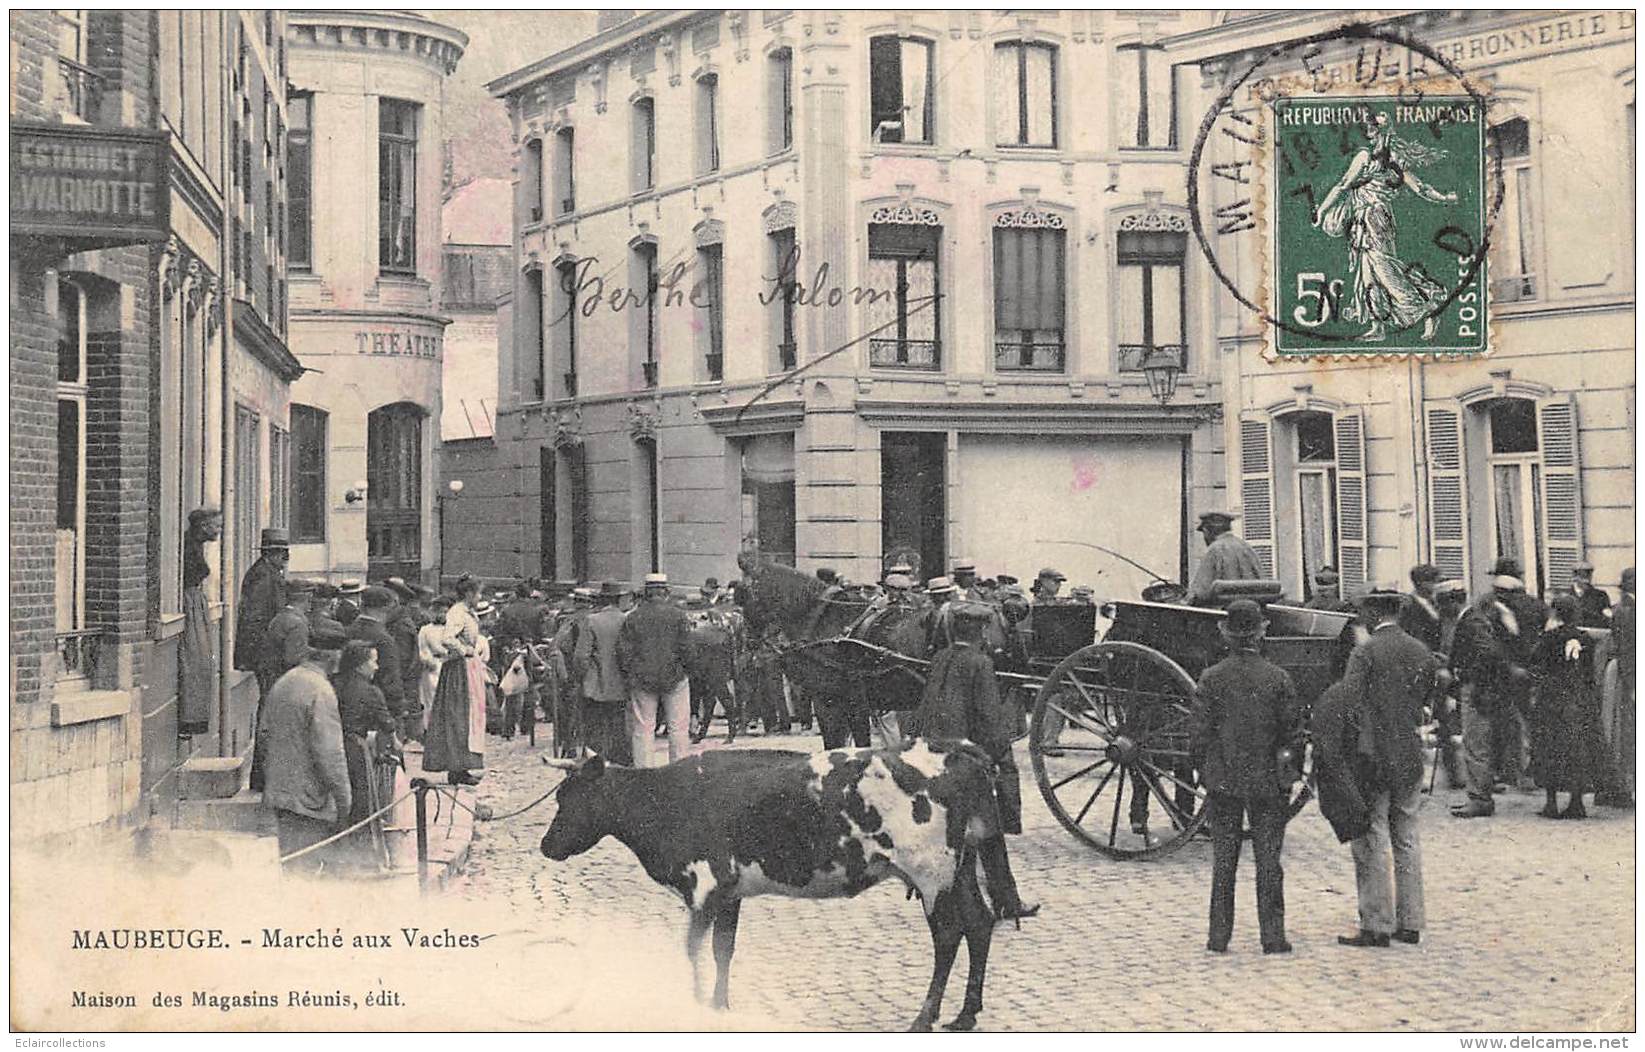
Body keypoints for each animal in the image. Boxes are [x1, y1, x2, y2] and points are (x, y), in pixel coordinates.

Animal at [539, 742, 1000, 1032]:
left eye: (569, 798)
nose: (545, 846)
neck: (667, 799)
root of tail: (954, 751)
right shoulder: (729, 893)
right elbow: (722, 949)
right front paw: (718, 1005)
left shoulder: (704, 887)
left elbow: (692, 948)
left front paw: (695, 1004)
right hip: (960, 872)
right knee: (980, 924)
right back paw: (966, 1015)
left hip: (932, 874)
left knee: (948, 936)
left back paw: (925, 1017)